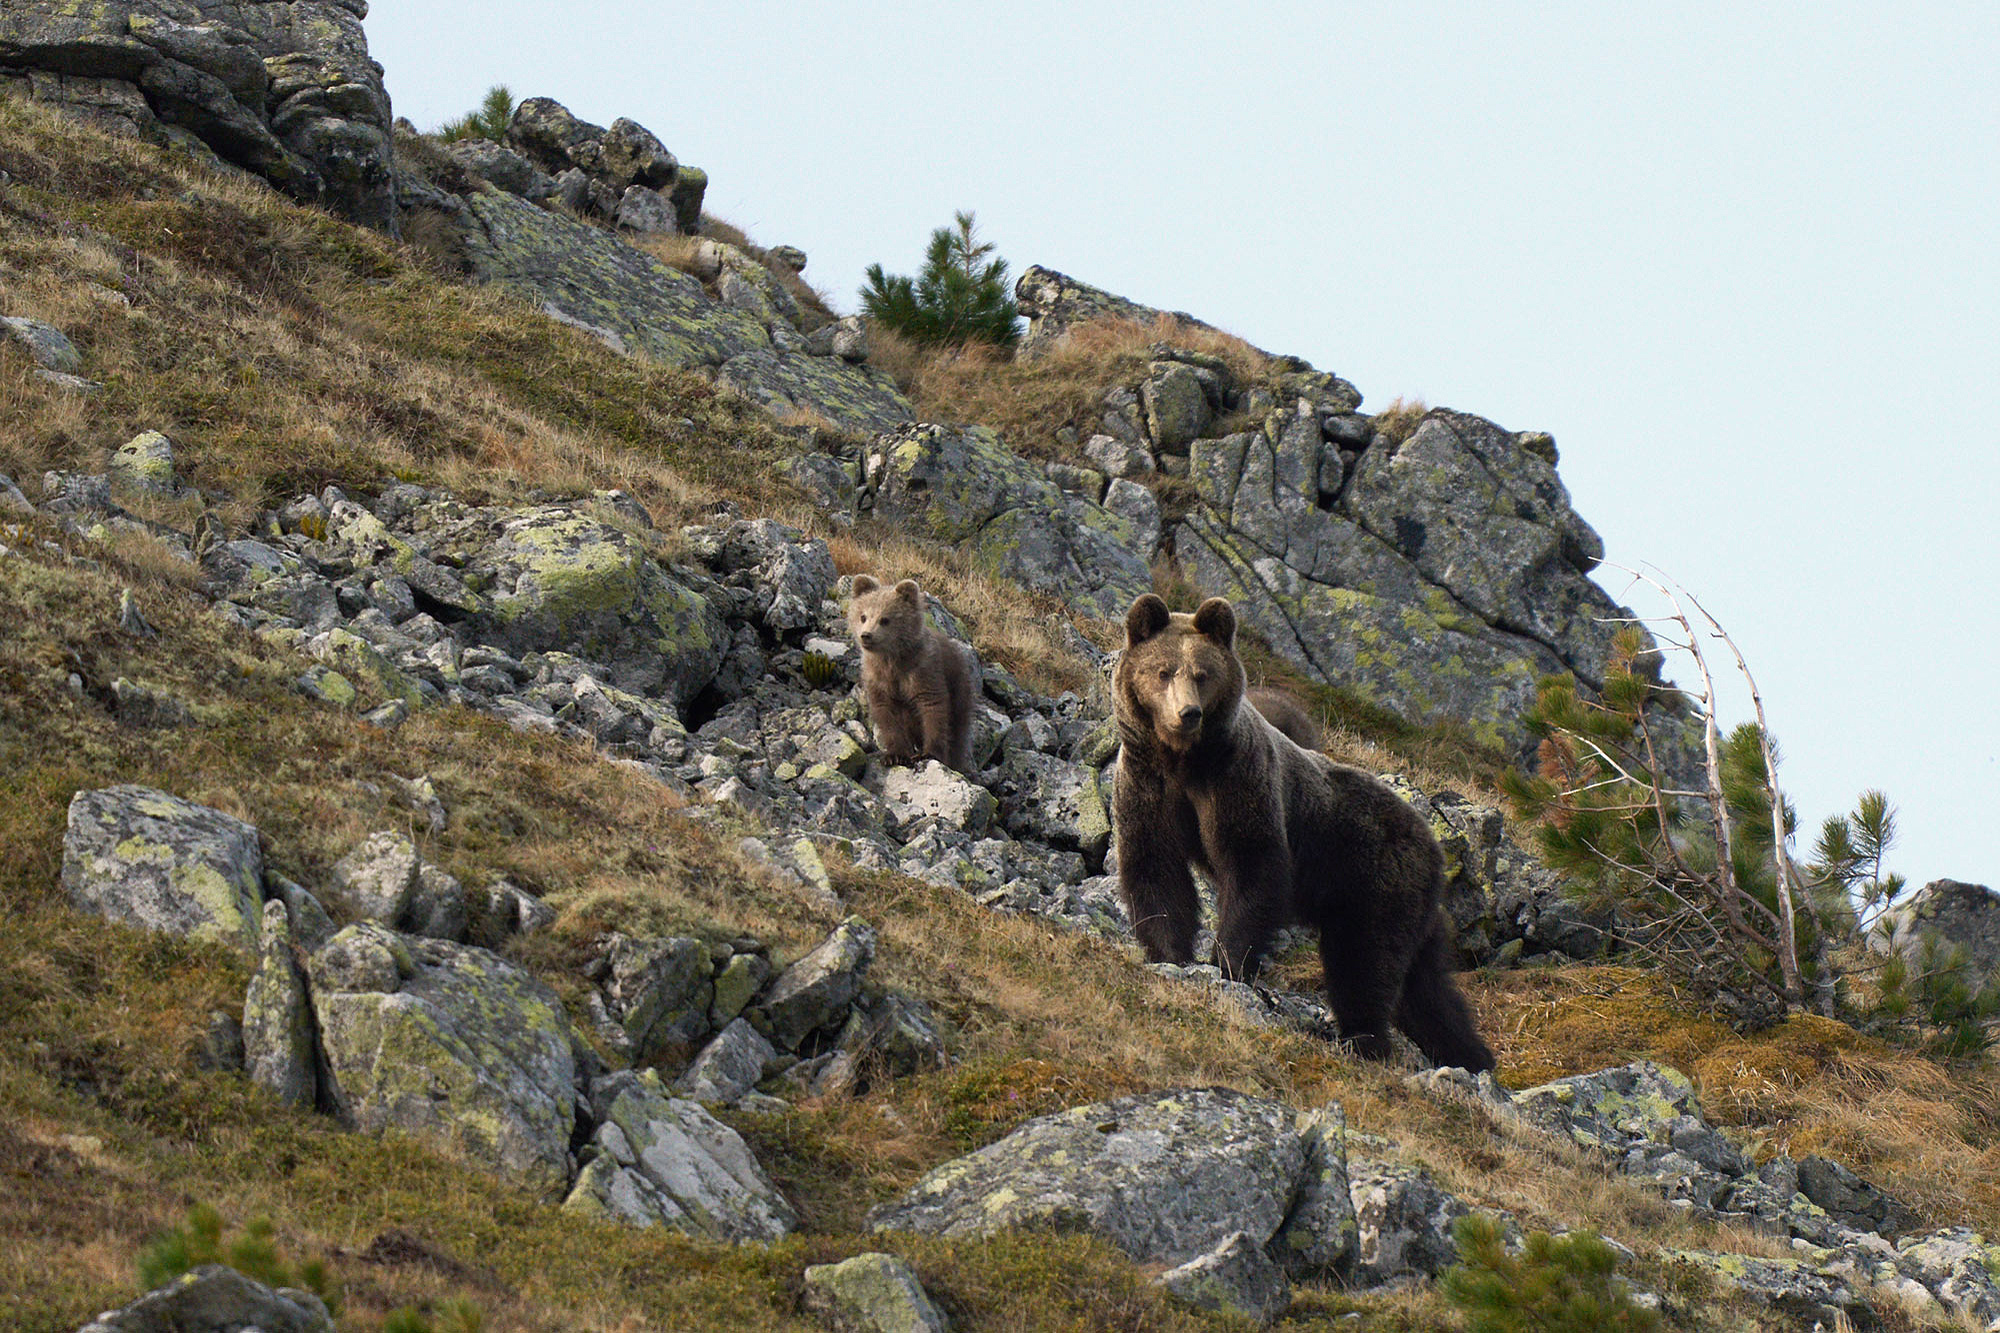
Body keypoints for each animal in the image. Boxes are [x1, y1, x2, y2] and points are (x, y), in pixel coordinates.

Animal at [1120, 592, 1496, 1072]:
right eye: (1163, 671)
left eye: (1203, 675)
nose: (1188, 713)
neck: (1183, 760)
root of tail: (1434, 843)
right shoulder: (1148, 784)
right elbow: (1155, 867)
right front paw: (1170, 955)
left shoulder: (1237, 780)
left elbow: (1253, 867)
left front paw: (1228, 962)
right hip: (1412, 907)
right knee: (1428, 991)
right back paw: (1471, 1054)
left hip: (1376, 883)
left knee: (1363, 964)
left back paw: (1363, 1039)